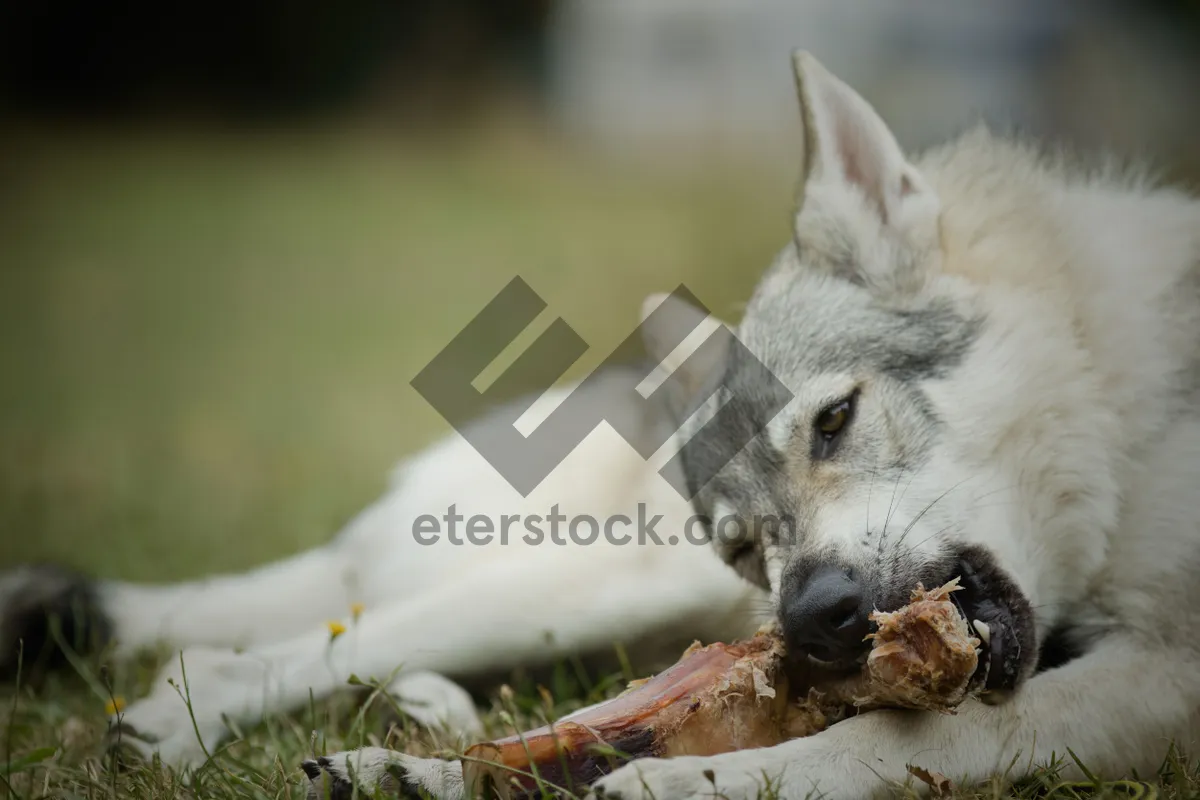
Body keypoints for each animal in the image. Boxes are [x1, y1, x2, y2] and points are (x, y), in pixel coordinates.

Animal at [7, 50, 1200, 800]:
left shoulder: (1158, 675)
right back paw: (193, 725)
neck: (1137, 421)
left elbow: (868, 743)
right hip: (599, 590)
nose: (810, 620)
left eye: (837, 420)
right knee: (270, 647)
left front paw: (669, 780)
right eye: (745, 544)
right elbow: (877, 740)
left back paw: (408, 755)